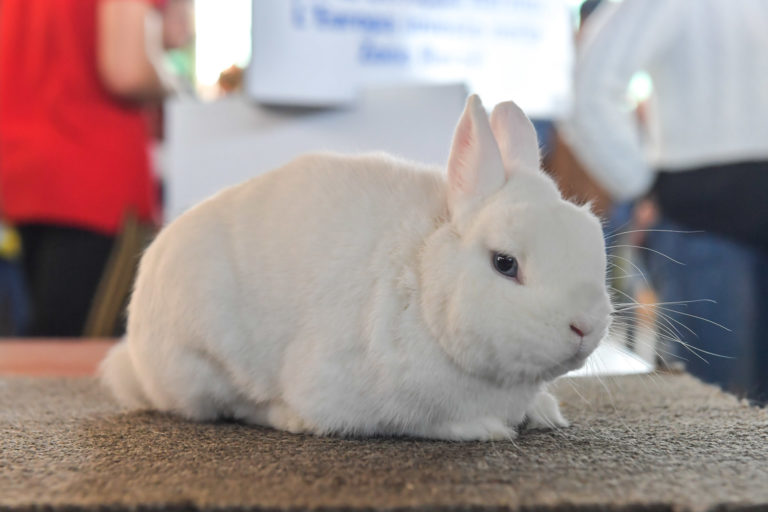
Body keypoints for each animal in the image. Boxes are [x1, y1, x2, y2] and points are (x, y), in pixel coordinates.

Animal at [100, 95, 612, 440]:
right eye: (505, 264)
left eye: (590, 237)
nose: (584, 326)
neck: (424, 279)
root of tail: (134, 359)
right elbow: (433, 423)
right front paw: (488, 428)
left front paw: (544, 413)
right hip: (203, 363)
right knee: (234, 407)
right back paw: (287, 417)